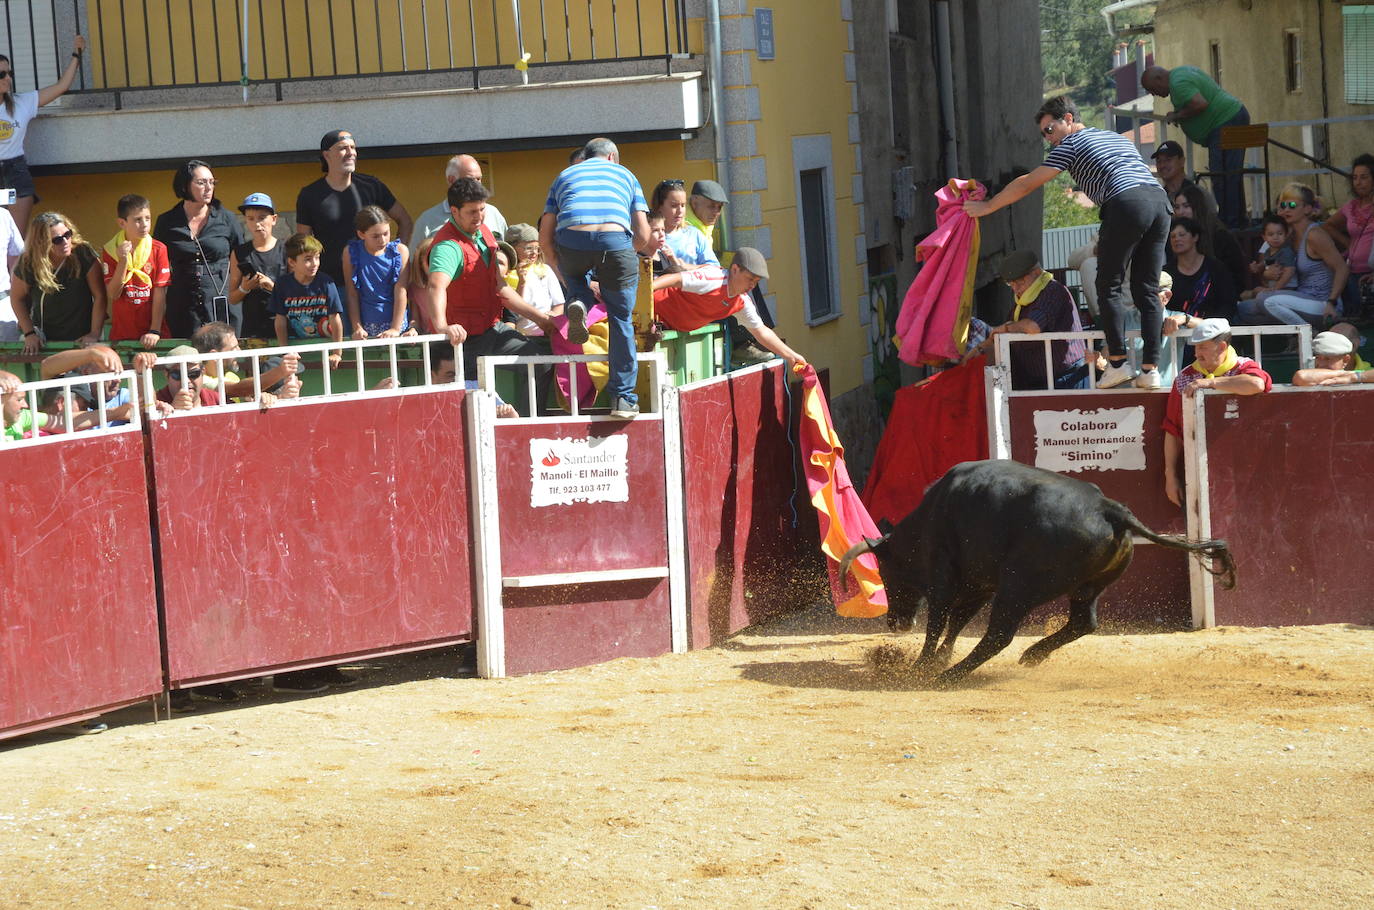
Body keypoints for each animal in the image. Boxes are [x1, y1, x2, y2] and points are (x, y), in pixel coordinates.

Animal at [835, 464, 1236, 684]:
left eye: (886, 573)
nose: (895, 623)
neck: (929, 517)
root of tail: (1112, 510)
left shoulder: (945, 578)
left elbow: (940, 620)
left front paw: (923, 664)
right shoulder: (980, 583)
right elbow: (957, 621)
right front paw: (938, 657)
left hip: (1018, 587)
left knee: (999, 634)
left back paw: (950, 676)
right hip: (1086, 587)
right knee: (1083, 622)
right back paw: (1032, 655)